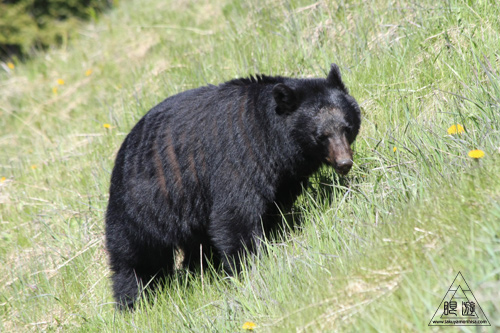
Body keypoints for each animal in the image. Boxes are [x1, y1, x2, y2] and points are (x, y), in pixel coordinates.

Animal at [106, 64, 360, 308]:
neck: (271, 137)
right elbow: (235, 216)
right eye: (321, 135)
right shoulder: (239, 156)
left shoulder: (283, 176)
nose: (344, 163)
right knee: (134, 259)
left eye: (347, 127)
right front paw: (249, 268)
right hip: (141, 206)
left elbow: (274, 208)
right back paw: (133, 301)